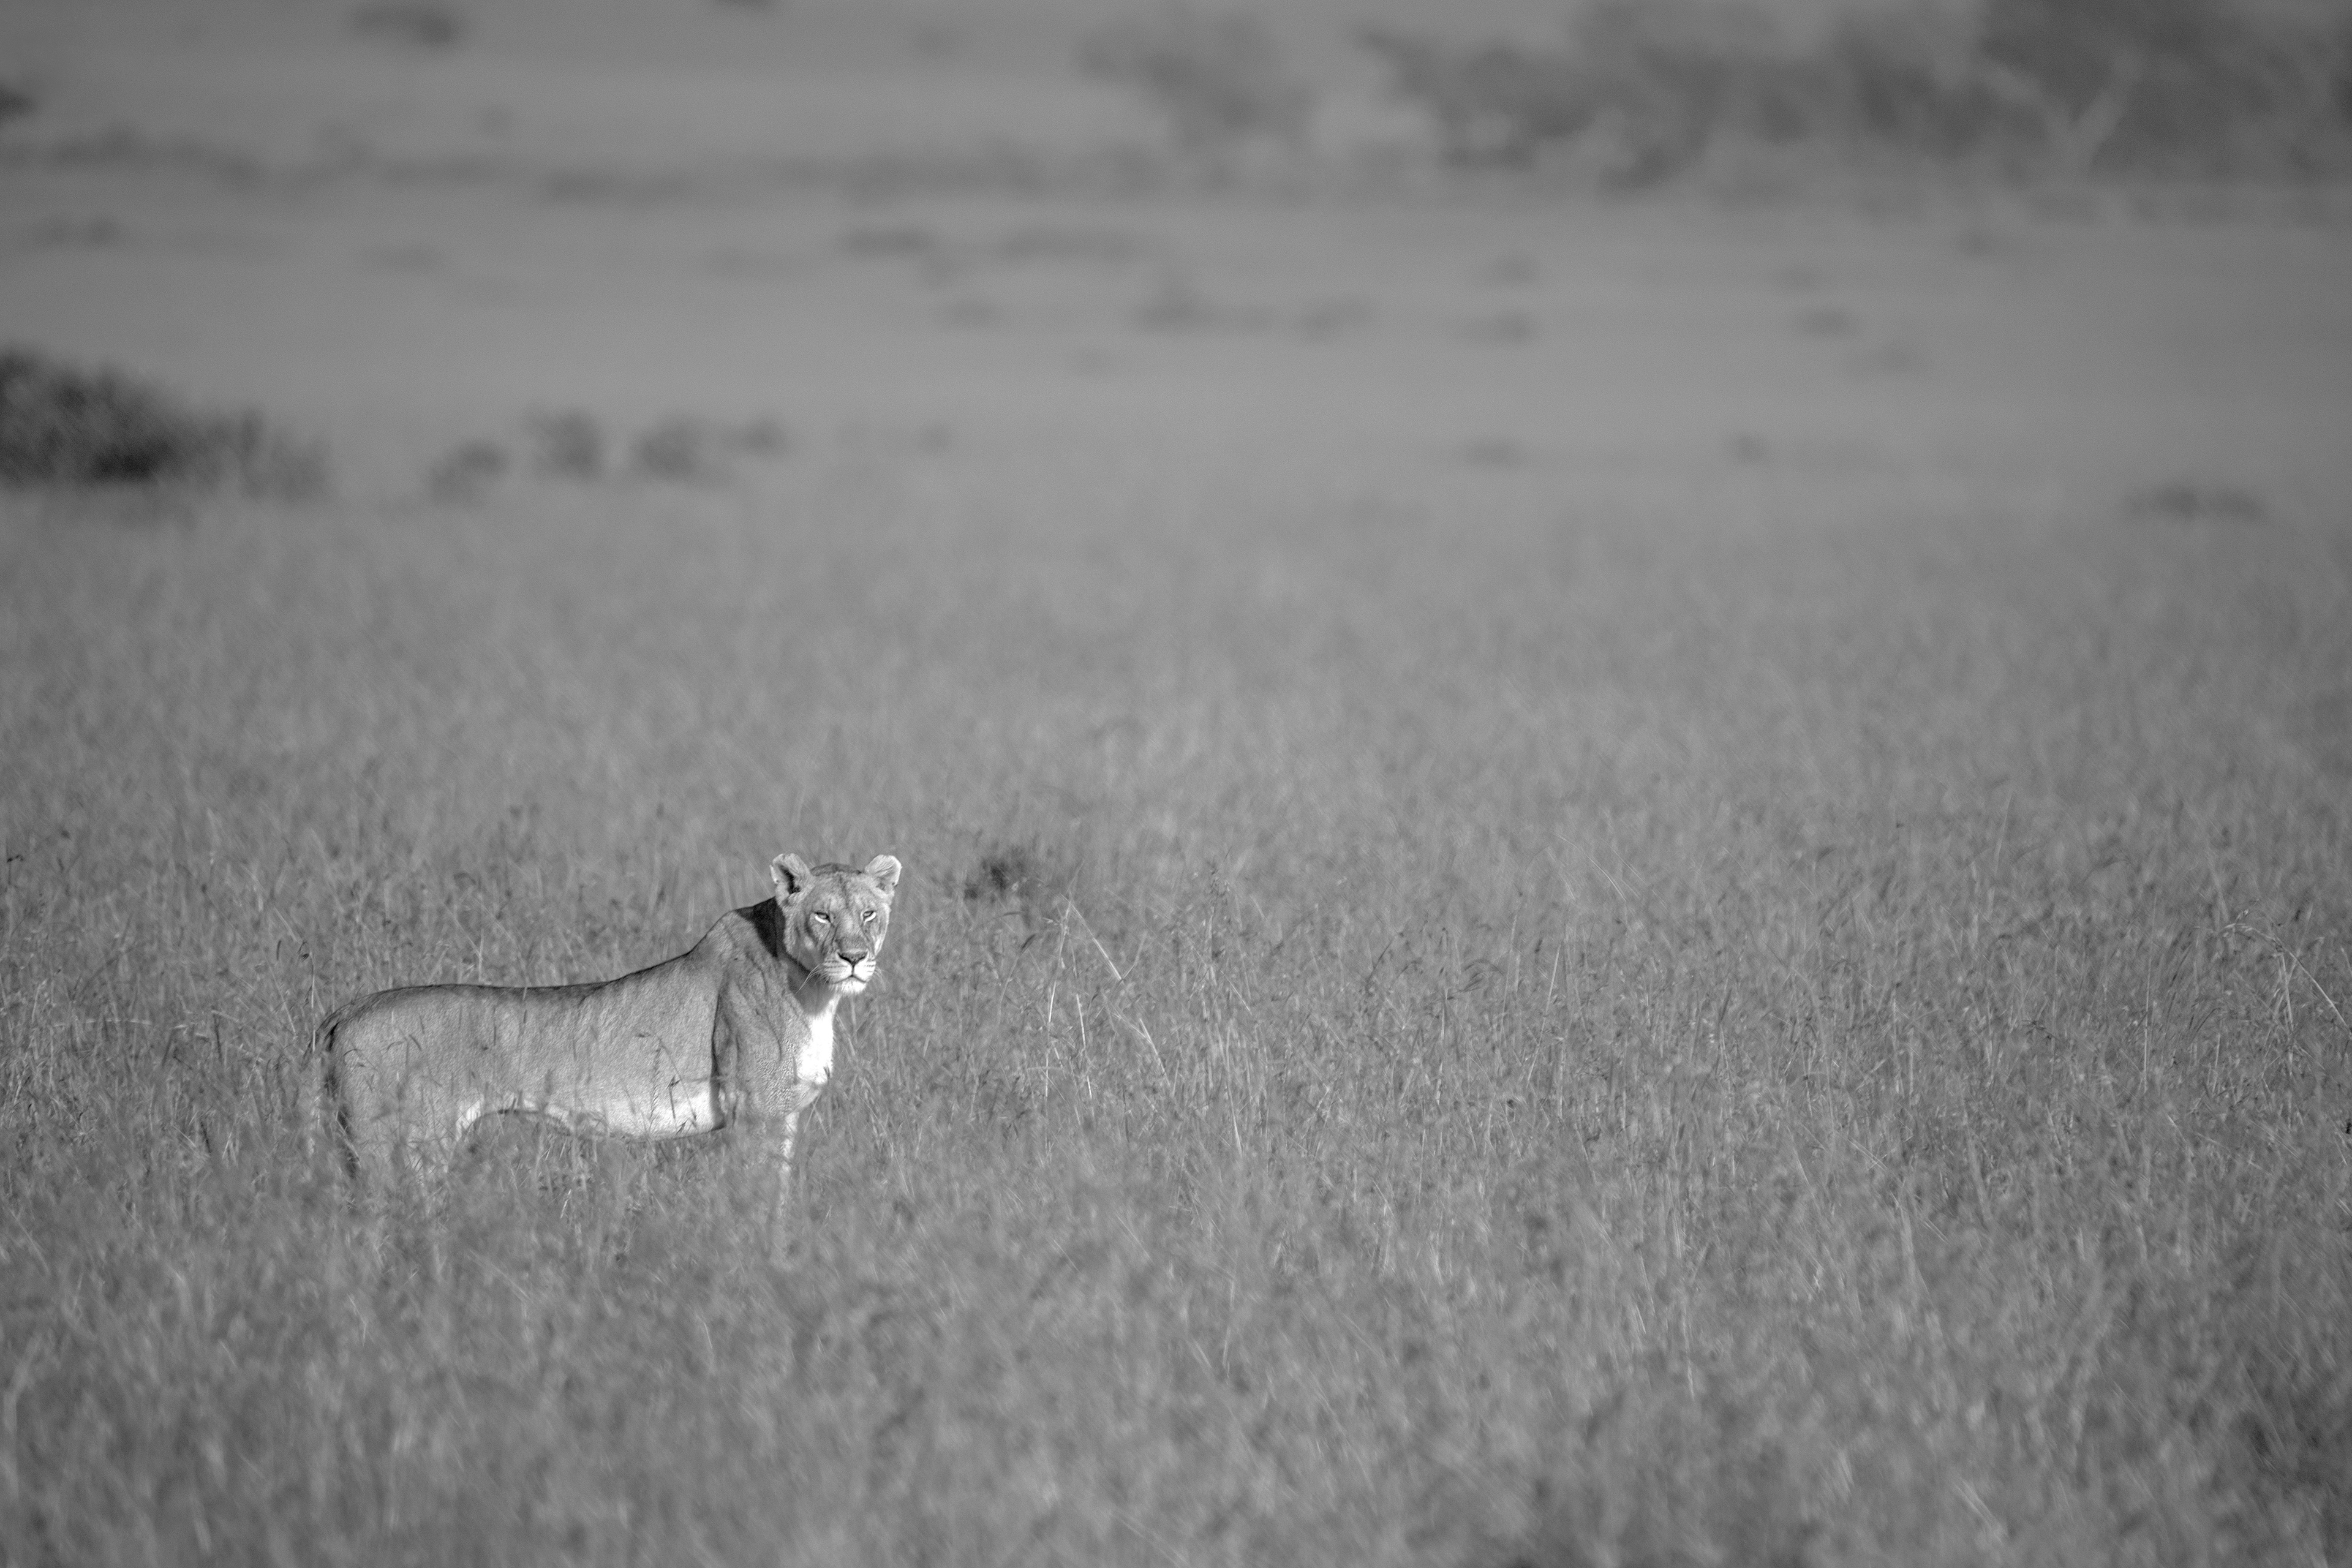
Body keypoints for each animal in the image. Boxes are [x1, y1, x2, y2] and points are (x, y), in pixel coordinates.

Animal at [315, 852, 900, 1204]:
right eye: (823, 915)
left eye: (869, 914)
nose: (854, 958)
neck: (816, 994)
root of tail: (349, 1008)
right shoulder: (756, 1108)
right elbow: (760, 1202)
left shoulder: (782, 1114)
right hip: (396, 1151)